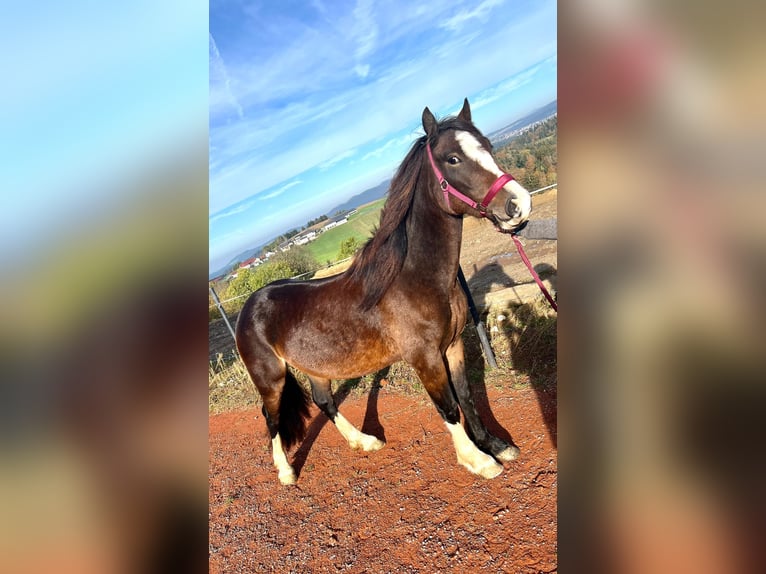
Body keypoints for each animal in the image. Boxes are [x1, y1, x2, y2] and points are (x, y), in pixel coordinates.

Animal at [237, 100, 532, 486]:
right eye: (452, 158)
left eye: (489, 147)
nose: (518, 204)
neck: (413, 278)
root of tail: (248, 307)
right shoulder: (424, 357)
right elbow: (448, 406)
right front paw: (477, 460)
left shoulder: (453, 345)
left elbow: (467, 396)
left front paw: (495, 446)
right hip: (271, 378)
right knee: (271, 417)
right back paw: (286, 472)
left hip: (315, 367)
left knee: (323, 401)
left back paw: (364, 441)